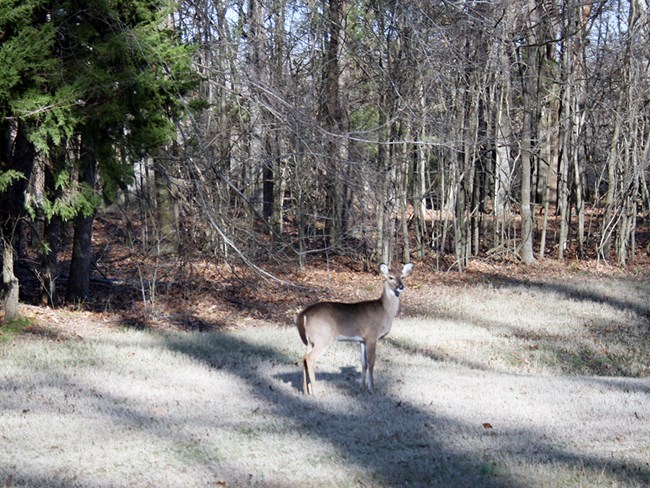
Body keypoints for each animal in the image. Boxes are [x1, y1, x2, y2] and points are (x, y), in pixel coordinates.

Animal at [296, 262, 412, 394]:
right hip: (322, 337)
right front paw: (372, 389)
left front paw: (362, 387)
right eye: (391, 277)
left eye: (402, 277)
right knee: (310, 358)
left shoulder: (362, 340)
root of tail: (304, 314)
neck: (385, 311)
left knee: (304, 358)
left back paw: (306, 390)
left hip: (311, 340)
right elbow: (371, 362)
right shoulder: (372, 336)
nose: (401, 286)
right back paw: (315, 393)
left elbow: (363, 363)